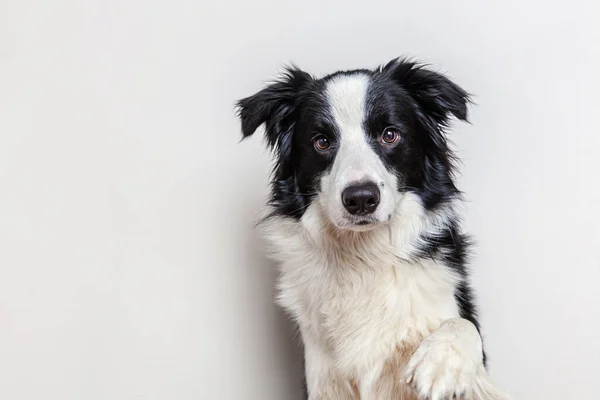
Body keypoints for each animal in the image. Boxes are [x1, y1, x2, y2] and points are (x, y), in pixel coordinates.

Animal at [237, 57, 508, 400]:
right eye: (322, 142)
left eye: (389, 135)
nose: (361, 199)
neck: (364, 254)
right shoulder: (321, 377)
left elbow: (464, 326)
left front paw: (443, 361)